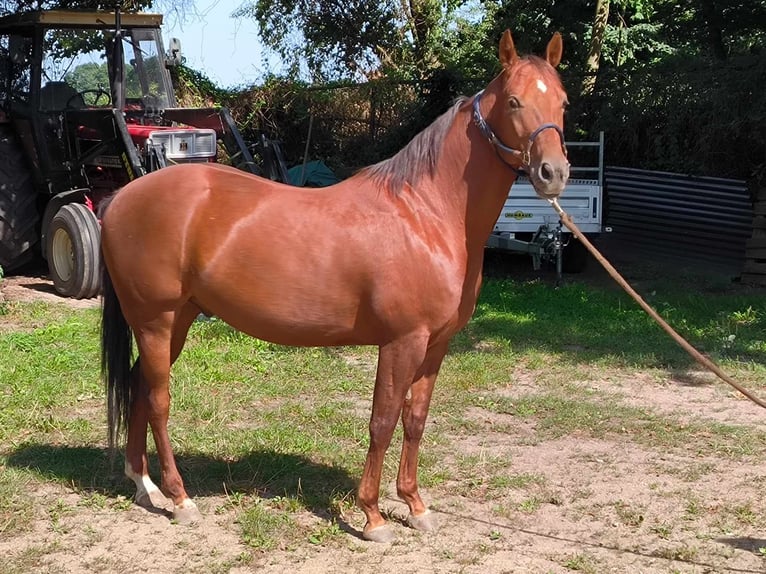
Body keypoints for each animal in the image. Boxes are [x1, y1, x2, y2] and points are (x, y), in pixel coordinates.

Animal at [100, 30, 568, 544]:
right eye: (514, 101)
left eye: (563, 101)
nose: (554, 173)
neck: (426, 214)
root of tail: (120, 198)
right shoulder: (402, 342)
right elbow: (382, 420)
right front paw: (373, 516)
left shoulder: (436, 345)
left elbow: (415, 420)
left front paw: (416, 505)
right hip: (156, 320)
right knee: (158, 399)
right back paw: (180, 498)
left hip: (177, 320)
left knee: (139, 386)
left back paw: (145, 486)